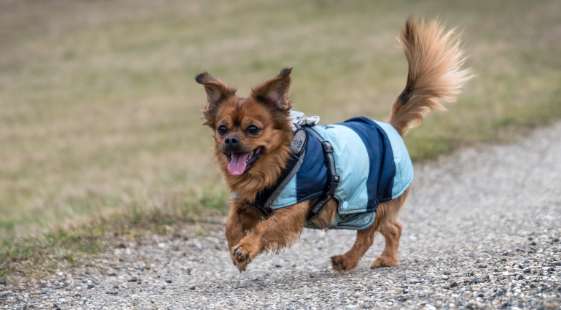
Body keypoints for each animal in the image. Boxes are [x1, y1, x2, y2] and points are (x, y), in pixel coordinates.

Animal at [195, 17, 470, 272]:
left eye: (253, 129)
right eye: (222, 129)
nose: (230, 140)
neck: (277, 164)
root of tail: (391, 126)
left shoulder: (292, 209)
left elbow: (265, 227)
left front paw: (245, 249)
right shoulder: (248, 202)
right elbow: (230, 224)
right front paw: (235, 247)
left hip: (370, 203)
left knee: (369, 236)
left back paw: (348, 260)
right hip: (363, 210)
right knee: (393, 228)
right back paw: (386, 259)